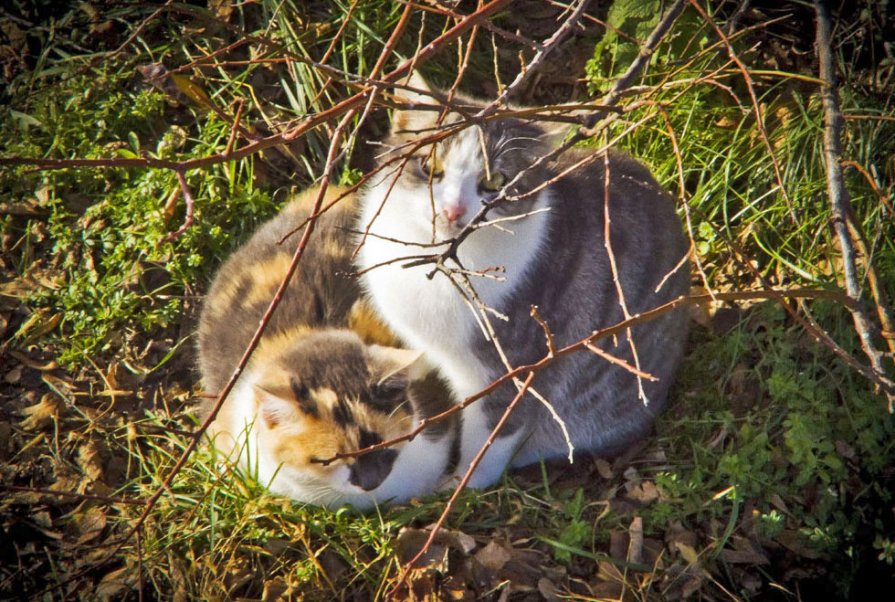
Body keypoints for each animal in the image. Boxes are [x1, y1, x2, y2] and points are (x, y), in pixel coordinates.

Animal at [356, 75, 692, 488]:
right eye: (429, 165)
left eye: (494, 180)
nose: (452, 210)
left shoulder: (513, 370)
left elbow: (489, 440)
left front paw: (462, 484)